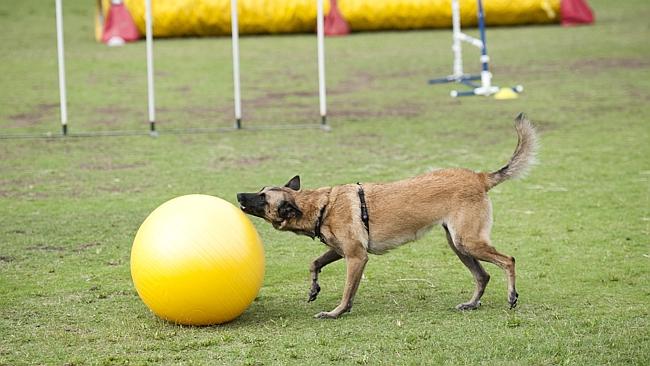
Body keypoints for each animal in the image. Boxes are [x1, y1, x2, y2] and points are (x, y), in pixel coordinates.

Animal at [235, 113, 536, 318]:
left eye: (262, 198)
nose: (238, 195)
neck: (321, 205)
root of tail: (479, 176)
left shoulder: (356, 257)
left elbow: (347, 291)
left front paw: (336, 312)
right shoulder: (341, 251)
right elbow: (314, 263)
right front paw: (313, 290)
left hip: (468, 241)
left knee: (508, 260)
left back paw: (511, 296)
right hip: (459, 245)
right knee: (483, 276)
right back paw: (472, 303)